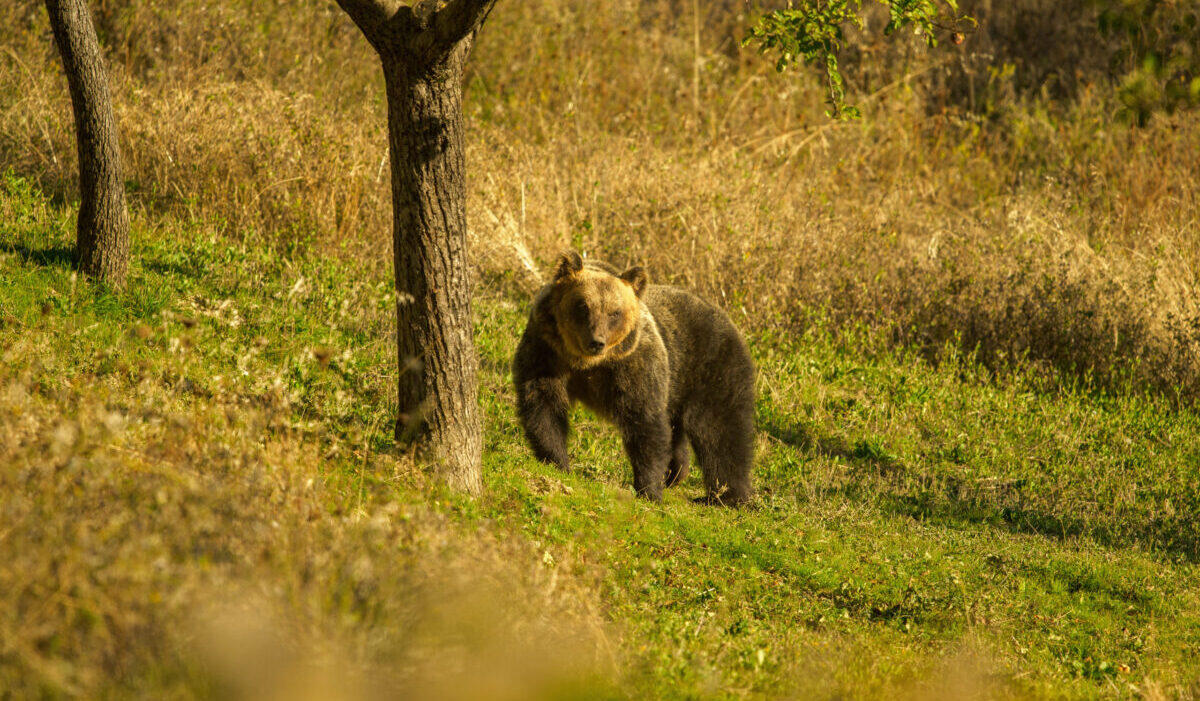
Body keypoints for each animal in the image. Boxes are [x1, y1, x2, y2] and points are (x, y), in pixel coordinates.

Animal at [512, 250, 756, 504]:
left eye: (614, 313)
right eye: (583, 306)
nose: (596, 341)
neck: (586, 363)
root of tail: (725, 316)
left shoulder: (634, 365)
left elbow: (644, 422)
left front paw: (648, 489)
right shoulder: (547, 351)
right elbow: (544, 405)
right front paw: (557, 461)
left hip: (710, 367)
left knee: (720, 430)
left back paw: (727, 495)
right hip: (677, 387)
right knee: (681, 432)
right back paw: (675, 475)